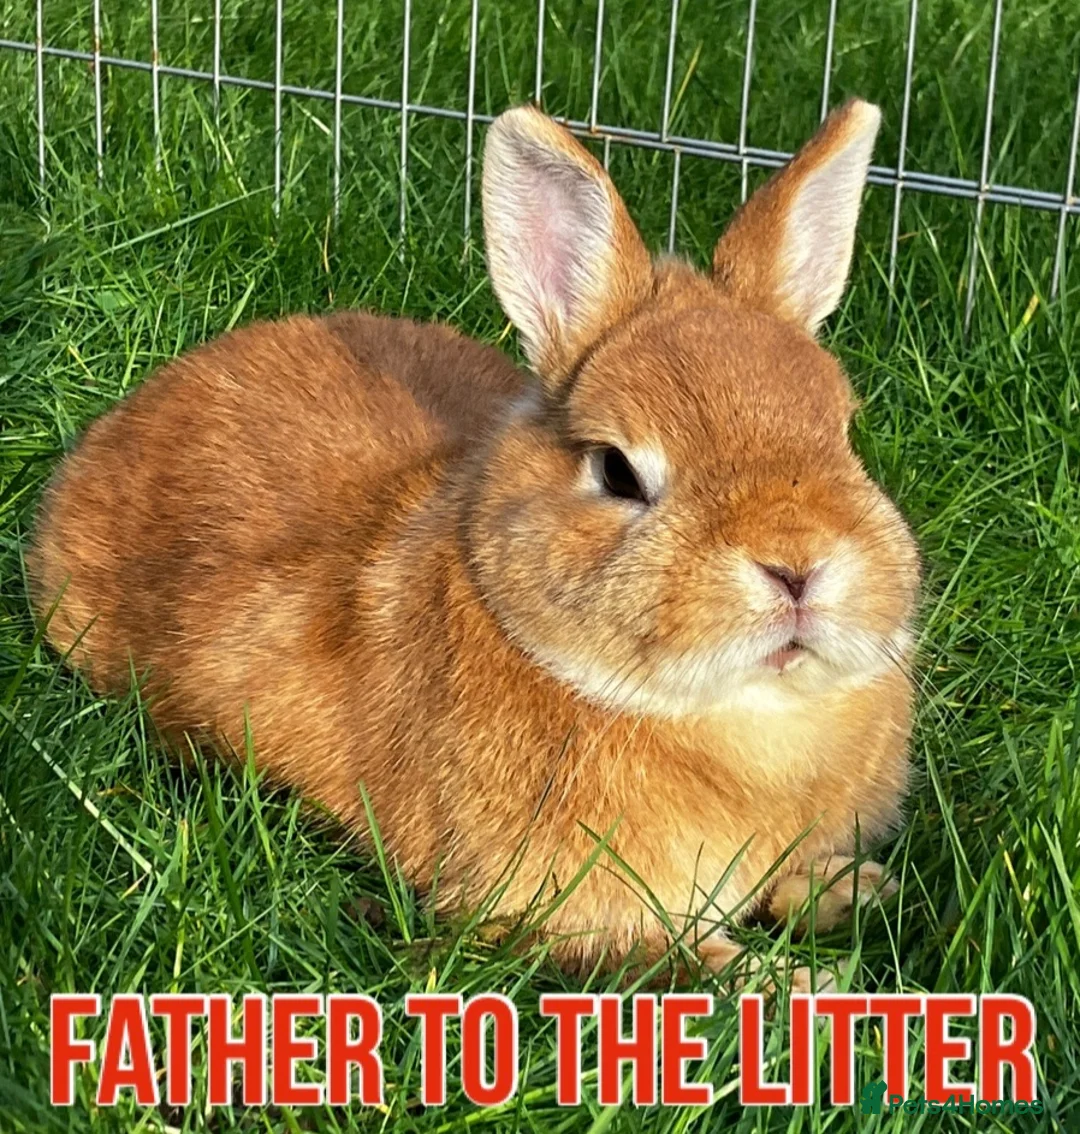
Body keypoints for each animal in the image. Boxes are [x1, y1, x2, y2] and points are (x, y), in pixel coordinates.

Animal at [29, 99, 920, 987]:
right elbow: (672, 962)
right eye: (617, 470)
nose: (797, 565)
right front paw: (797, 983)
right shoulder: (554, 918)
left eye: (844, 435)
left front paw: (855, 891)